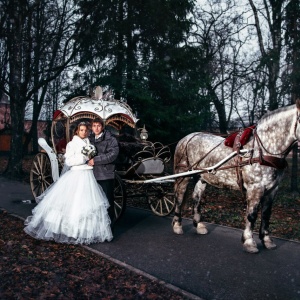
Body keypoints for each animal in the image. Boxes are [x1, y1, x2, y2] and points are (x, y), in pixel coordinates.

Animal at [172, 101, 300, 253]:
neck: (261, 151)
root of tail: (185, 138)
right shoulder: (255, 188)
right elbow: (252, 215)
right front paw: (249, 241)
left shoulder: (273, 189)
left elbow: (266, 214)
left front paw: (267, 240)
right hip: (183, 175)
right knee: (179, 197)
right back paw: (177, 225)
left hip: (201, 178)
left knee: (196, 198)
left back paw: (199, 225)